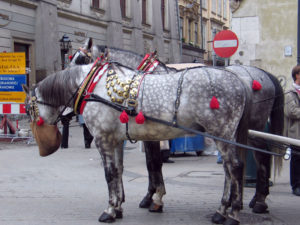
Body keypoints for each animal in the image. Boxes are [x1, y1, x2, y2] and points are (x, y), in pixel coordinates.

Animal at [24, 59, 253, 225]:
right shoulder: (116, 140)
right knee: (228, 170)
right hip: (225, 135)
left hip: (222, 132)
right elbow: (118, 171)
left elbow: (109, 174)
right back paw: (222, 210)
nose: (43, 146)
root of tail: (237, 79)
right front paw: (118, 207)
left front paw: (109, 210)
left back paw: (231, 213)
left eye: (28, 108)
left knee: (234, 167)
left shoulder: (102, 140)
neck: (95, 87)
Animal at [72, 38, 284, 220]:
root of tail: (260, 74)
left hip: (243, 130)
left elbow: (153, 164)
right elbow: (147, 164)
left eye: (81, 60)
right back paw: (246, 202)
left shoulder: (150, 136)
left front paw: (152, 198)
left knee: (254, 160)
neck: (133, 83)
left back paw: (252, 203)